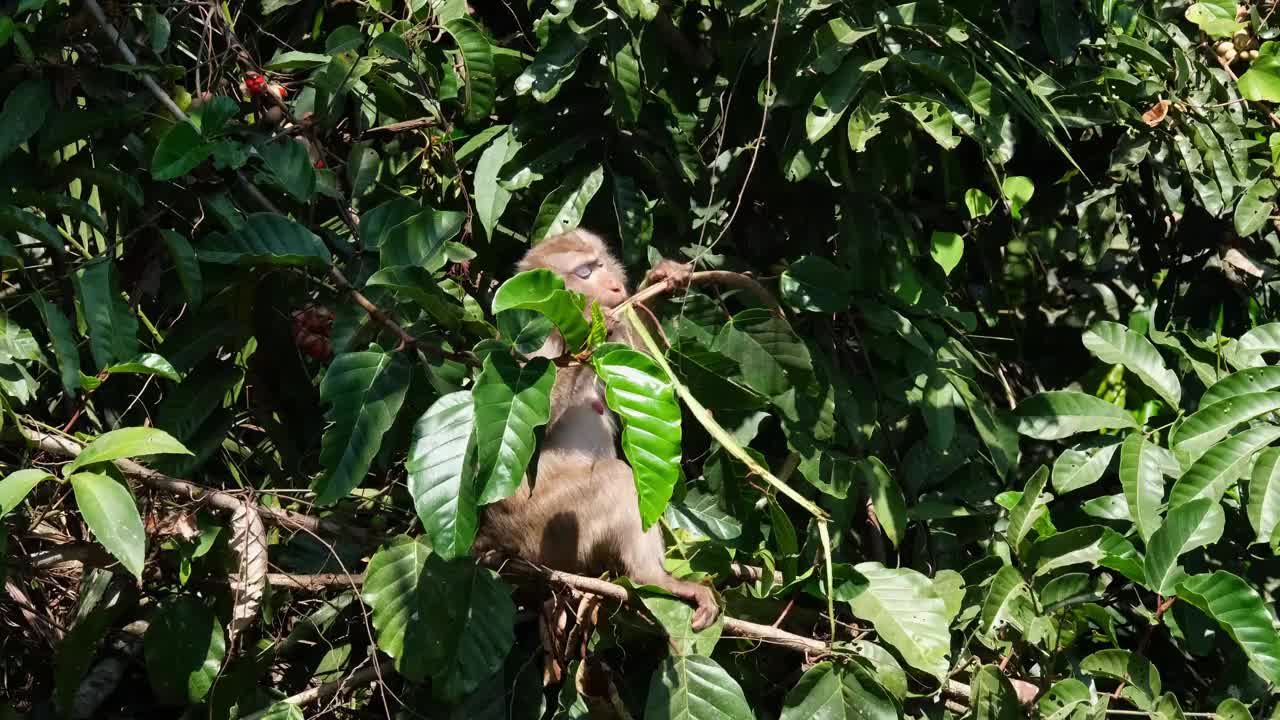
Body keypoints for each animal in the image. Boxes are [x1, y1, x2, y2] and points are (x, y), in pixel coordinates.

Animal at [478, 228, 721, 627]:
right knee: (617, 479)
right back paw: (652, 577)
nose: (613, 285)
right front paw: (588, 331)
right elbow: (527, 430)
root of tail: (494, 536)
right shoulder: (534, 345)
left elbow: (646, 377)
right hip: (542, 530)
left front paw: (659, 281)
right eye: (585, 272)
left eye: (601, 263)